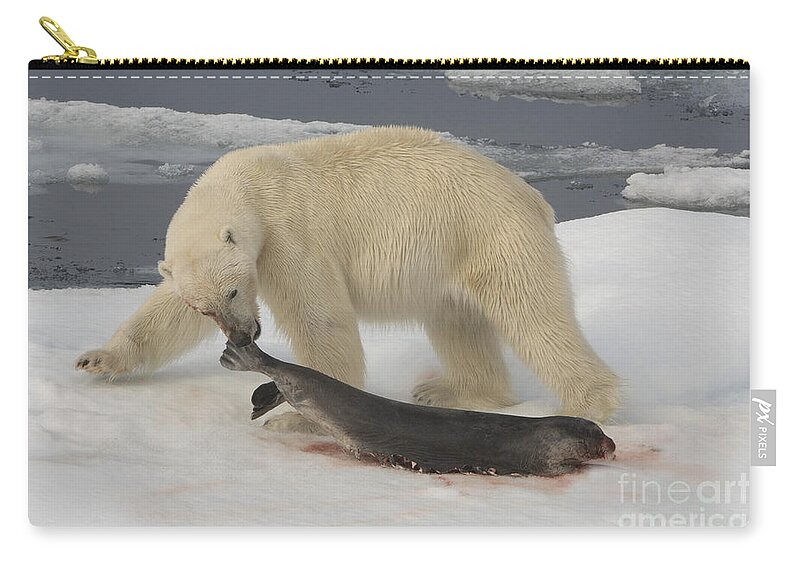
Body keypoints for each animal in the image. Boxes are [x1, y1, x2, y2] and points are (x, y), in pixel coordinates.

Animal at [75, 124, 620, 426]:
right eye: (205, 306)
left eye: (233, 290)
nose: (244, 334)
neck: (251, 186)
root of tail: (531, 195)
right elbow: (164, 311)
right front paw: (96, 360)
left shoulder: (289, 233)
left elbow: (321, 320)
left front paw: (309, 418)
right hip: (448, 262)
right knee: (457, 322)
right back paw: (451, 391)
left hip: (490, 236)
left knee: (533, 316)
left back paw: (590, 405)